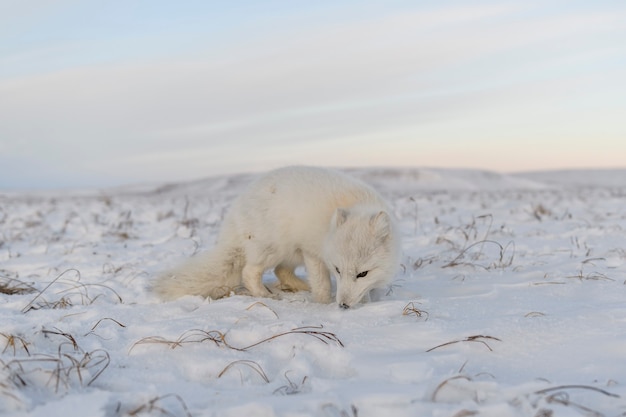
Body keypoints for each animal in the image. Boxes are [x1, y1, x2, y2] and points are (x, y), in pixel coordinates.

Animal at [154, 165, 402, 306]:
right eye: (338, 270)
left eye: (362, 273)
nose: (343, 305)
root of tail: (235, 213)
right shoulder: (312, 252)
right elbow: (322, 285)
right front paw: (323, 304)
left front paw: (364, 302)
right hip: (272, 247)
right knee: (250, 272)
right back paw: (265, 295)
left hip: (290, 252)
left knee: (281, 270)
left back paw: (301, 286)